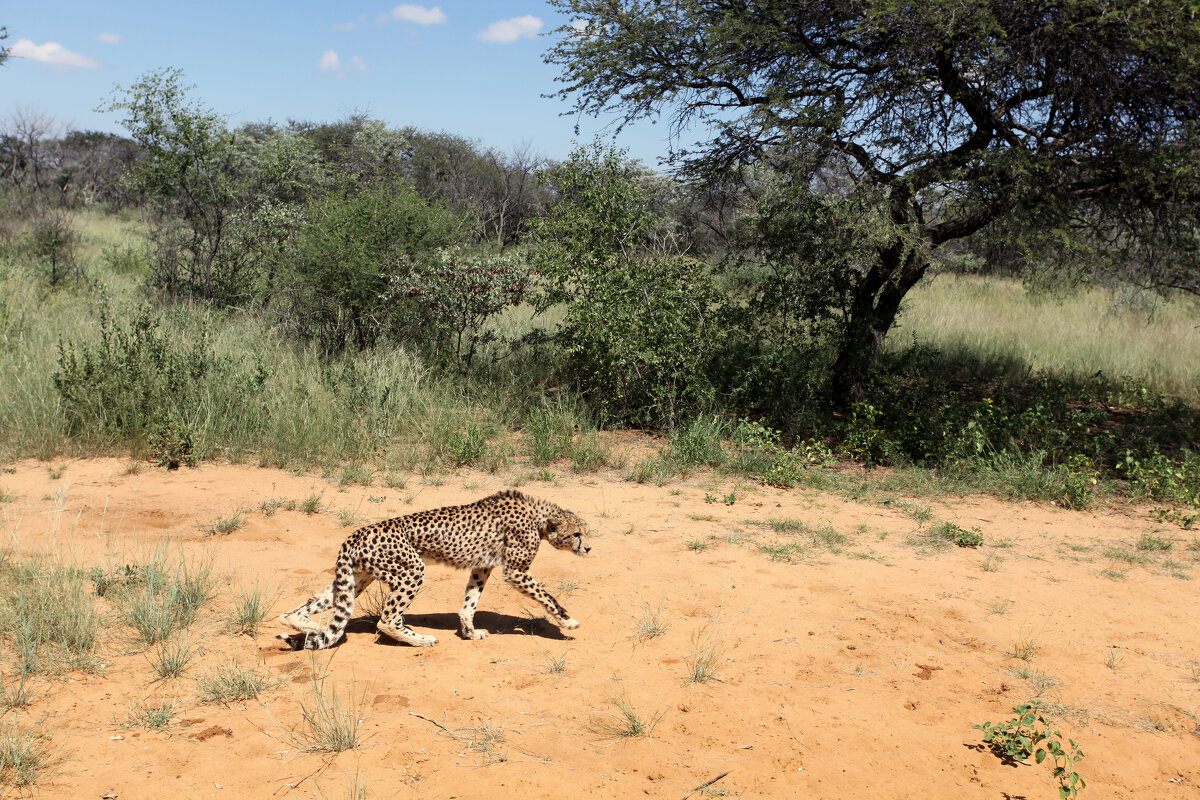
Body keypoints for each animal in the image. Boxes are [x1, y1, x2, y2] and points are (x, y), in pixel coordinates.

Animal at [273, 489, 590, 652]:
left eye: (586, 532)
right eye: (577, 534)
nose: (587, 548)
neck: (540, 517)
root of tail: (357, 532)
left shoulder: (482, 566)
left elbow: (469, 603)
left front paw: (469, 633)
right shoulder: (516, 571)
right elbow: (548, 597)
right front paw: (567, 622)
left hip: (357, 580)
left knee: (296, 612)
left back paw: (312, 629)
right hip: (411, 569)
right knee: (387, 621)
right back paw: (420, 639)